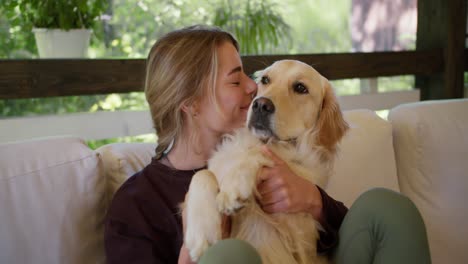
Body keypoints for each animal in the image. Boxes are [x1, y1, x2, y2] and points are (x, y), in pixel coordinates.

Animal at [185, 60, 350, 264]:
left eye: (300, 88)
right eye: (265, 80)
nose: (261, 105)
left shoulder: (298, 235)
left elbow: (260, 153)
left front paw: (234, 186)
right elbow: (202, 174)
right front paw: (202, 232)